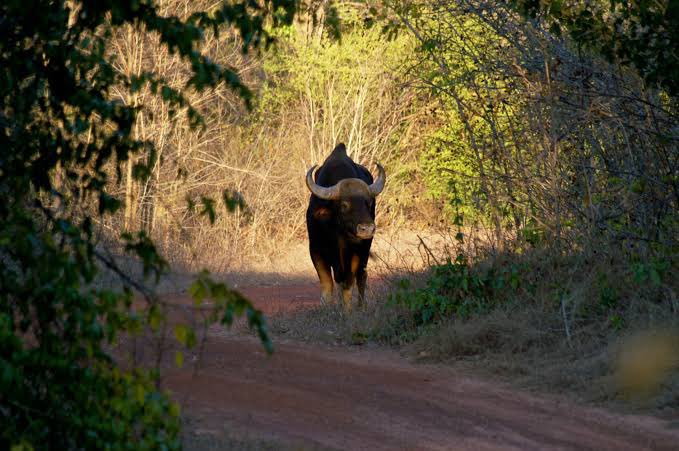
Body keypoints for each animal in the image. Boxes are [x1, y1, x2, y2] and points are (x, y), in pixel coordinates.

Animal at [306, 144, 386, 310]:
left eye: (369, 202)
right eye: (344, 205)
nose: (367, 229)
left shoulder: (354, 252)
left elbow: (348, 282)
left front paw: (347, 310)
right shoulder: (315, 249)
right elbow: (327, 282)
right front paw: (327, 308)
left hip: (365, 249)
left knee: (361, 275)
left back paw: (361, 306)